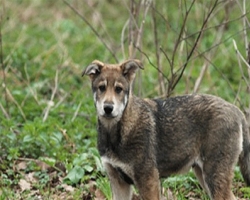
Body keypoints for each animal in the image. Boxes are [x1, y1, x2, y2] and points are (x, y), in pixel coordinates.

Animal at [82, 59, 250, 200]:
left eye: (119, 89)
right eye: (101, 88)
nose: (108, 108)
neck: (116, 133)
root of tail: (237, 111)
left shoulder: (148, 179)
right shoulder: (118, 181)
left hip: (214, 175)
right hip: (203, 175)